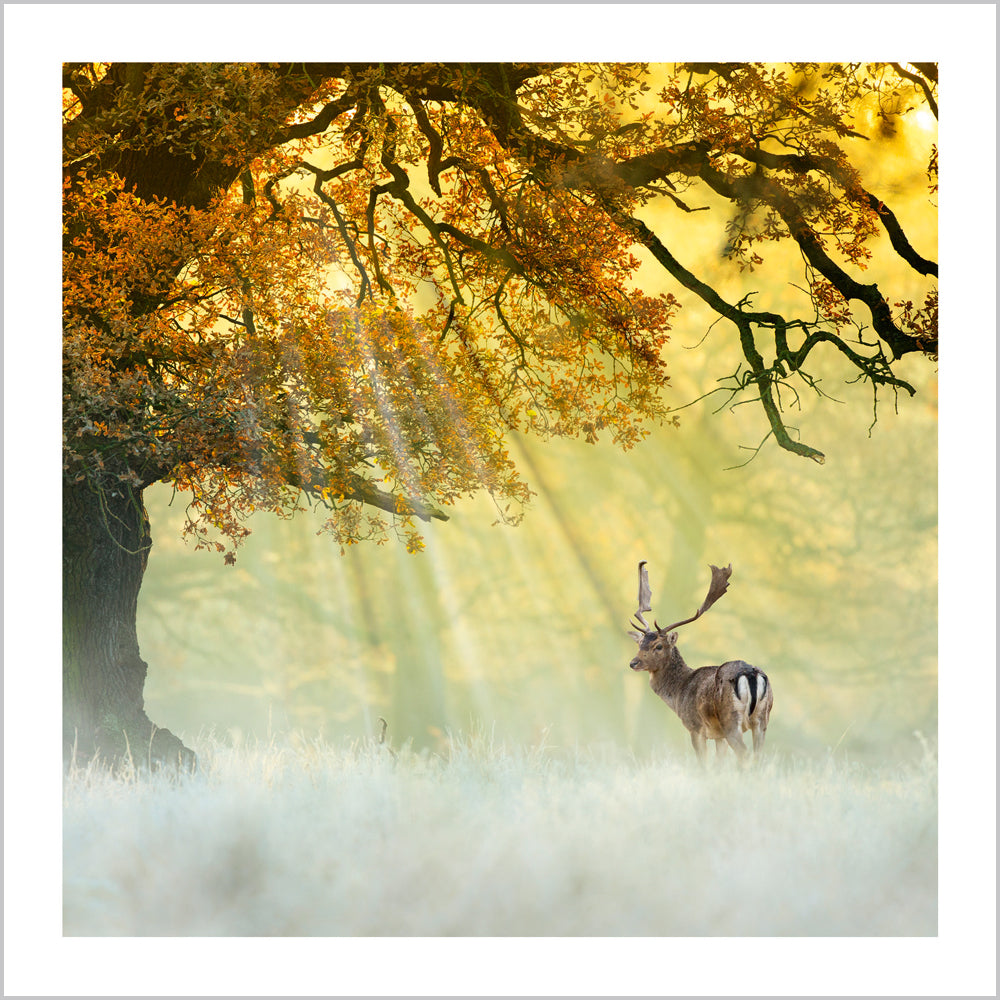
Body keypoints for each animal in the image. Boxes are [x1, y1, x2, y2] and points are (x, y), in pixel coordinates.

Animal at [627, 561, 773, 764]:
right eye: (640, 643)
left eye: (659, 646)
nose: (634, 663)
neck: (679, 693)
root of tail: (750, 674)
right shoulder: (718, 736)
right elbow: (719, 763)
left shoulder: (695, 727)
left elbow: (703, 763)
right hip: (762, 719)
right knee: (758, 755)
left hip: (730, 719)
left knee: (744, 753)